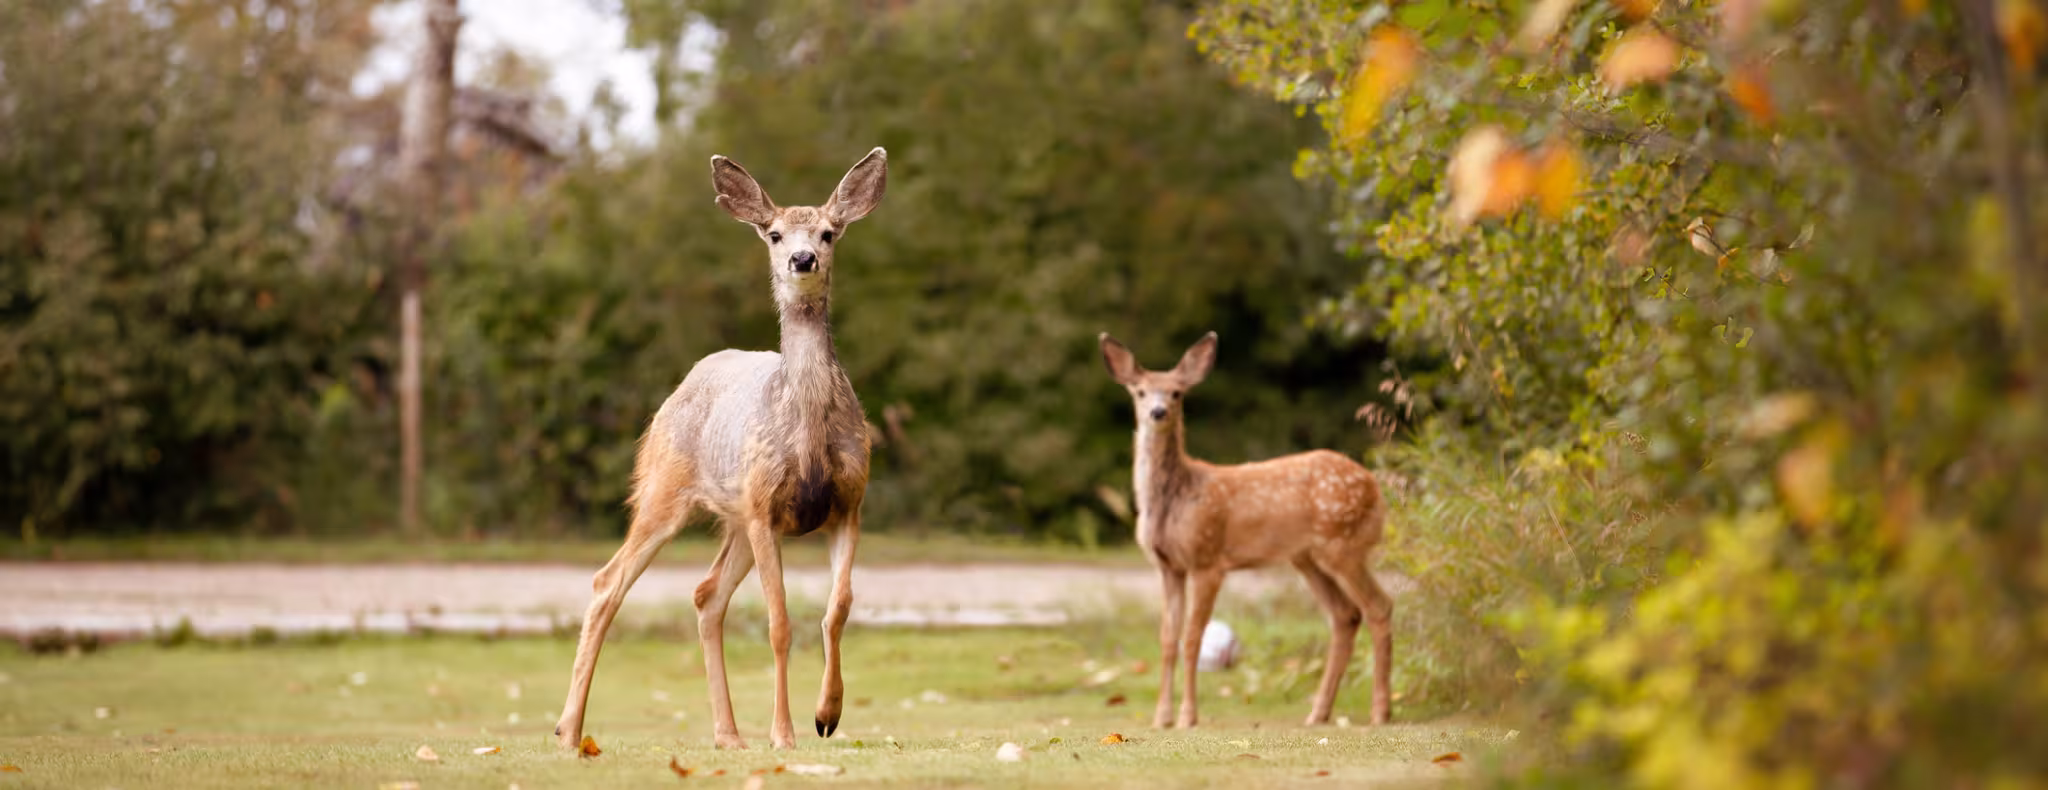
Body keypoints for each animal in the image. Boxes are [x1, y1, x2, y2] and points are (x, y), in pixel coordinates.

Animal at [554, 148, 888, 752]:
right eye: (775, 234)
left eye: (828, 233)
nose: (802, 259)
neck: (806, 433)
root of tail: (684, 383)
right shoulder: (764, 508)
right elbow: (780, 623)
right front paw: (784, 734)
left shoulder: (848, 504)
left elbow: (838, 610)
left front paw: (827, 715)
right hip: (667, 487)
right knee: (608, 581)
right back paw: (570, 731)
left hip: (734, 518)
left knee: (707, 595)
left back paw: (727, 735)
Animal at [1098, 331, 1393, 729]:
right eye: (1140, 392)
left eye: (1176, 393)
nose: (1158, 412)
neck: (1176, 499)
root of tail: (1376, 488)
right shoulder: (1168, 566)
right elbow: (1167, 639)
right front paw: (1161, 718)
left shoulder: (1207, 559)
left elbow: (1192, 638)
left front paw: (1188, 717)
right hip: (1307, 558)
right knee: (1345, 615)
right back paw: (1318, 713)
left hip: (1342, 544)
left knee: (1379, 606)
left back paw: (1380, 711)